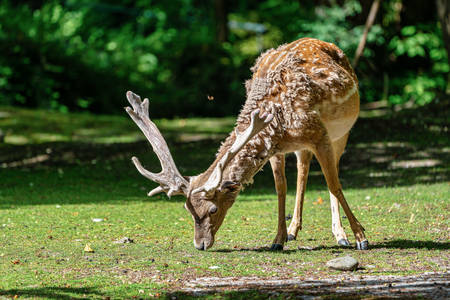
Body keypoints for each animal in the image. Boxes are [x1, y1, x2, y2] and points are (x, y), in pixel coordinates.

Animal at [125, 38, 370, 252]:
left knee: (331, 173)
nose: (200, 244)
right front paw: (278, 240)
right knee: (303, 170)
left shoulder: (320, 135)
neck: (278, 120)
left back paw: (341, 235)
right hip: (304, 147)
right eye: (188, 208)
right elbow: (281, 188)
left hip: (341, 133)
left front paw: (361, 237)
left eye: (213, 209)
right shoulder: (277, 148)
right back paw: (294, 231)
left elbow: (334, 185)